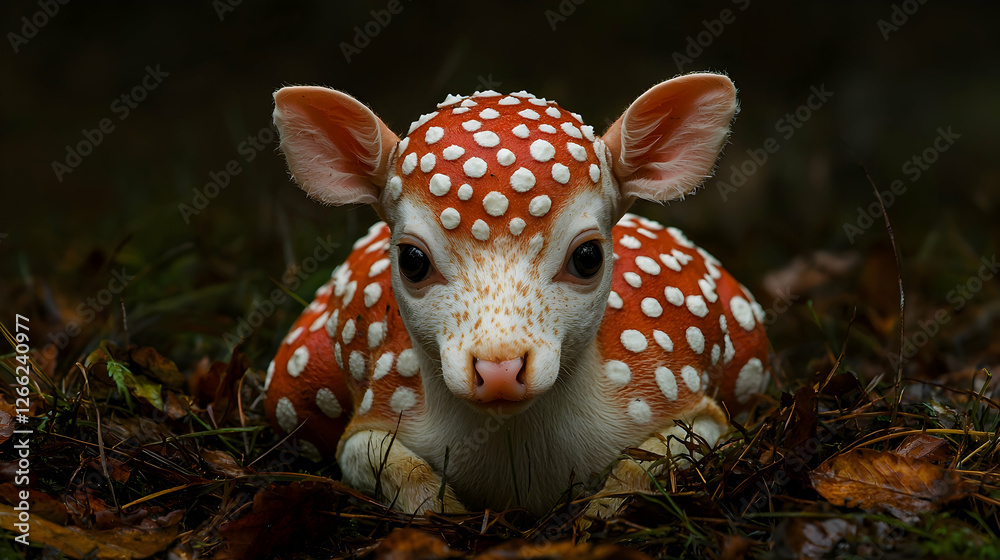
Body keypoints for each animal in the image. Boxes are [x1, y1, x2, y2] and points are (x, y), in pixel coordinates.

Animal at [262, 73, 771, 517]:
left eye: (588, 256)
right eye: (412, 260)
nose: (499, 370)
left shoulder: (683, 395)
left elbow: (646, 463)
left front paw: (597, 513)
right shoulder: (380, 406)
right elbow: (381, 460)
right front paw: (445, 511)